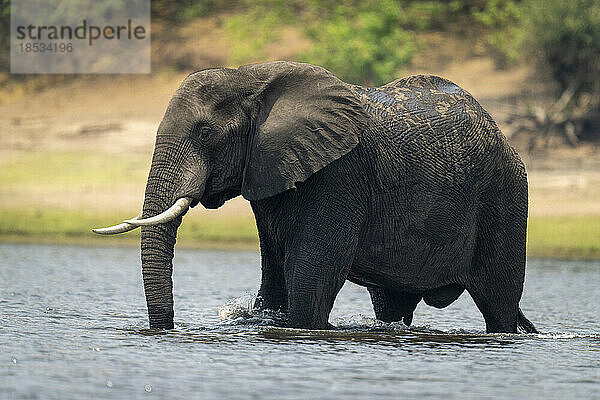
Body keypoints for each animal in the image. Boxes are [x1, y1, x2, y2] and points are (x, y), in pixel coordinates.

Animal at [94, 60, 540, 334]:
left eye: (205, 133)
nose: (168, 328)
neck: (251, 77)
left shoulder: (340, 175)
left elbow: (310, 282)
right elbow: (275, 279)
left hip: (505, 195)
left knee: (498, 302)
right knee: (392, 305)